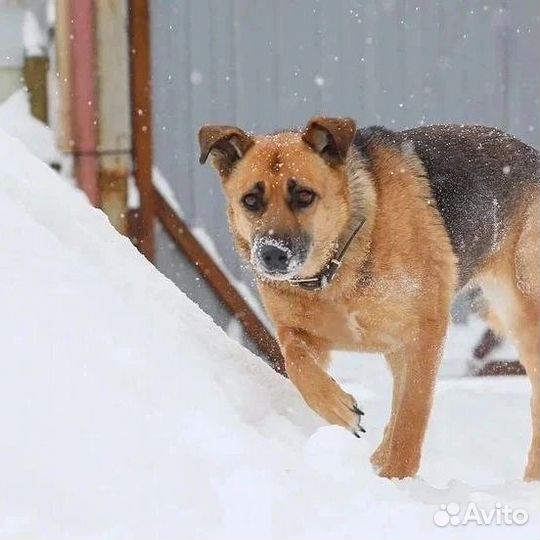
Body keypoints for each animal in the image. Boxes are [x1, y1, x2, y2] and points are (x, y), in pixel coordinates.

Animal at [198, 118, 540, 480]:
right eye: (251, 200)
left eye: (304, 195)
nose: (272, 255)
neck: (335, 270)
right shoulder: (302, 335)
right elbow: (296, 362)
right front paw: (336, 407)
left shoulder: (426, 332)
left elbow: (411, 418)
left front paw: (397, 481)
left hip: (523, 316)